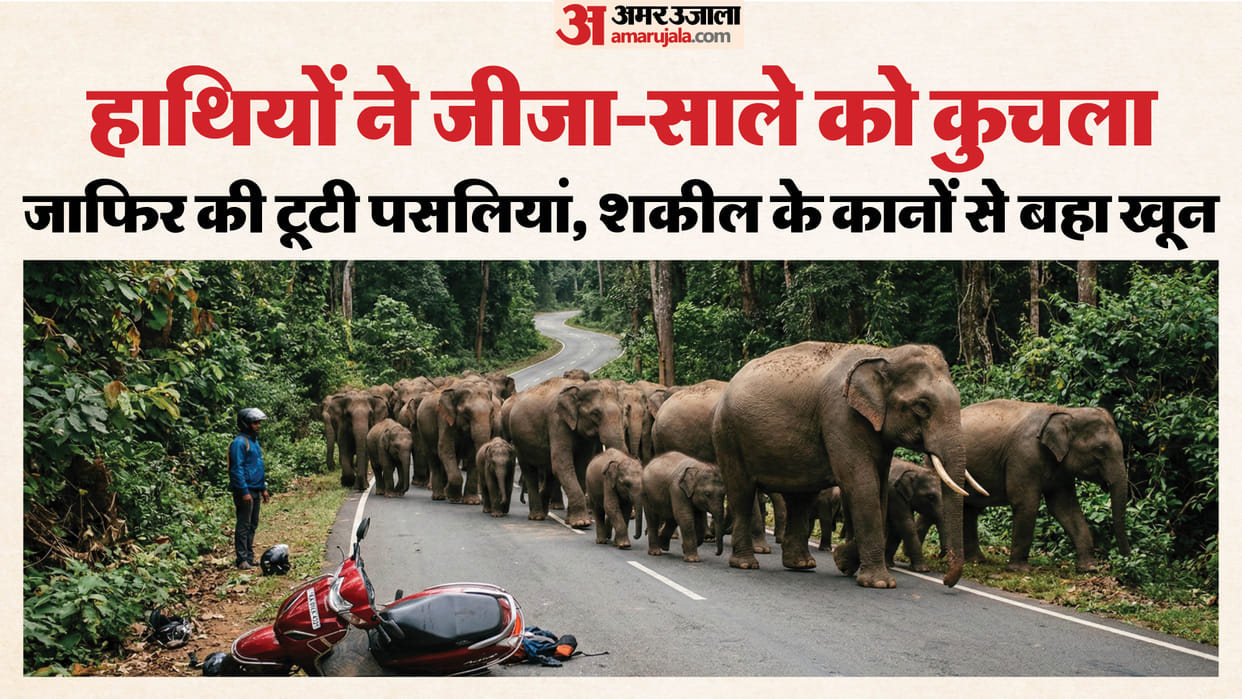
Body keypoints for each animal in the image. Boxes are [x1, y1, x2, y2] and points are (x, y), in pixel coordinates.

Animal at [507, 377, 630, 528]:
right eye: (595, 413)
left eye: (622, 412)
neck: (580, 387)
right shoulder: (557, 422)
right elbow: (562, 464)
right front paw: (581, 523)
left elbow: (582, 467)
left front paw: (573, 521)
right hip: (519, 443)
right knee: (530, 471)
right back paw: (537, 516)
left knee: (549, 472)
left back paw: (544, 511)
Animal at [712, 341, 976, 588]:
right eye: (921, 406)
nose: (947, 581)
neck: (884, 354)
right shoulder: (840, 416)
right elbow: (861, 484)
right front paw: (880, 583)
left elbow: (879, 490)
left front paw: (843, 561)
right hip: (728, 436)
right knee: (742, 493)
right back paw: (746, 564)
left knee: (800, 498)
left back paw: (802, 565)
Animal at [960, 399, 1131, 572]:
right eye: (1100, 449)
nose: (1126, 556)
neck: (1067, 412)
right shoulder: (1023, 455)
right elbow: (1026, 503)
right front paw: (1019, 570)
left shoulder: (1061, 469)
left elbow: (1065, 507)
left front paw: (1089, 568)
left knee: (969, 509)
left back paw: (976, 560)